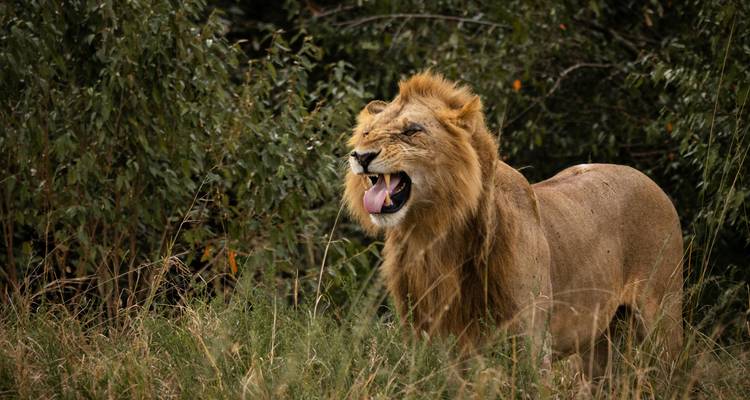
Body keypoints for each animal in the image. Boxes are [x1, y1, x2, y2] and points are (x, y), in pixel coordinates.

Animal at [343, 72, 683, 376]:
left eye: (411, 131)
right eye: (367, 132)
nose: (361, 156)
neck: (434, 235)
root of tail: (650, 182)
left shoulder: (531, 342)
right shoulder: (432, 341)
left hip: (663, 319)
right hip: (598, 343)